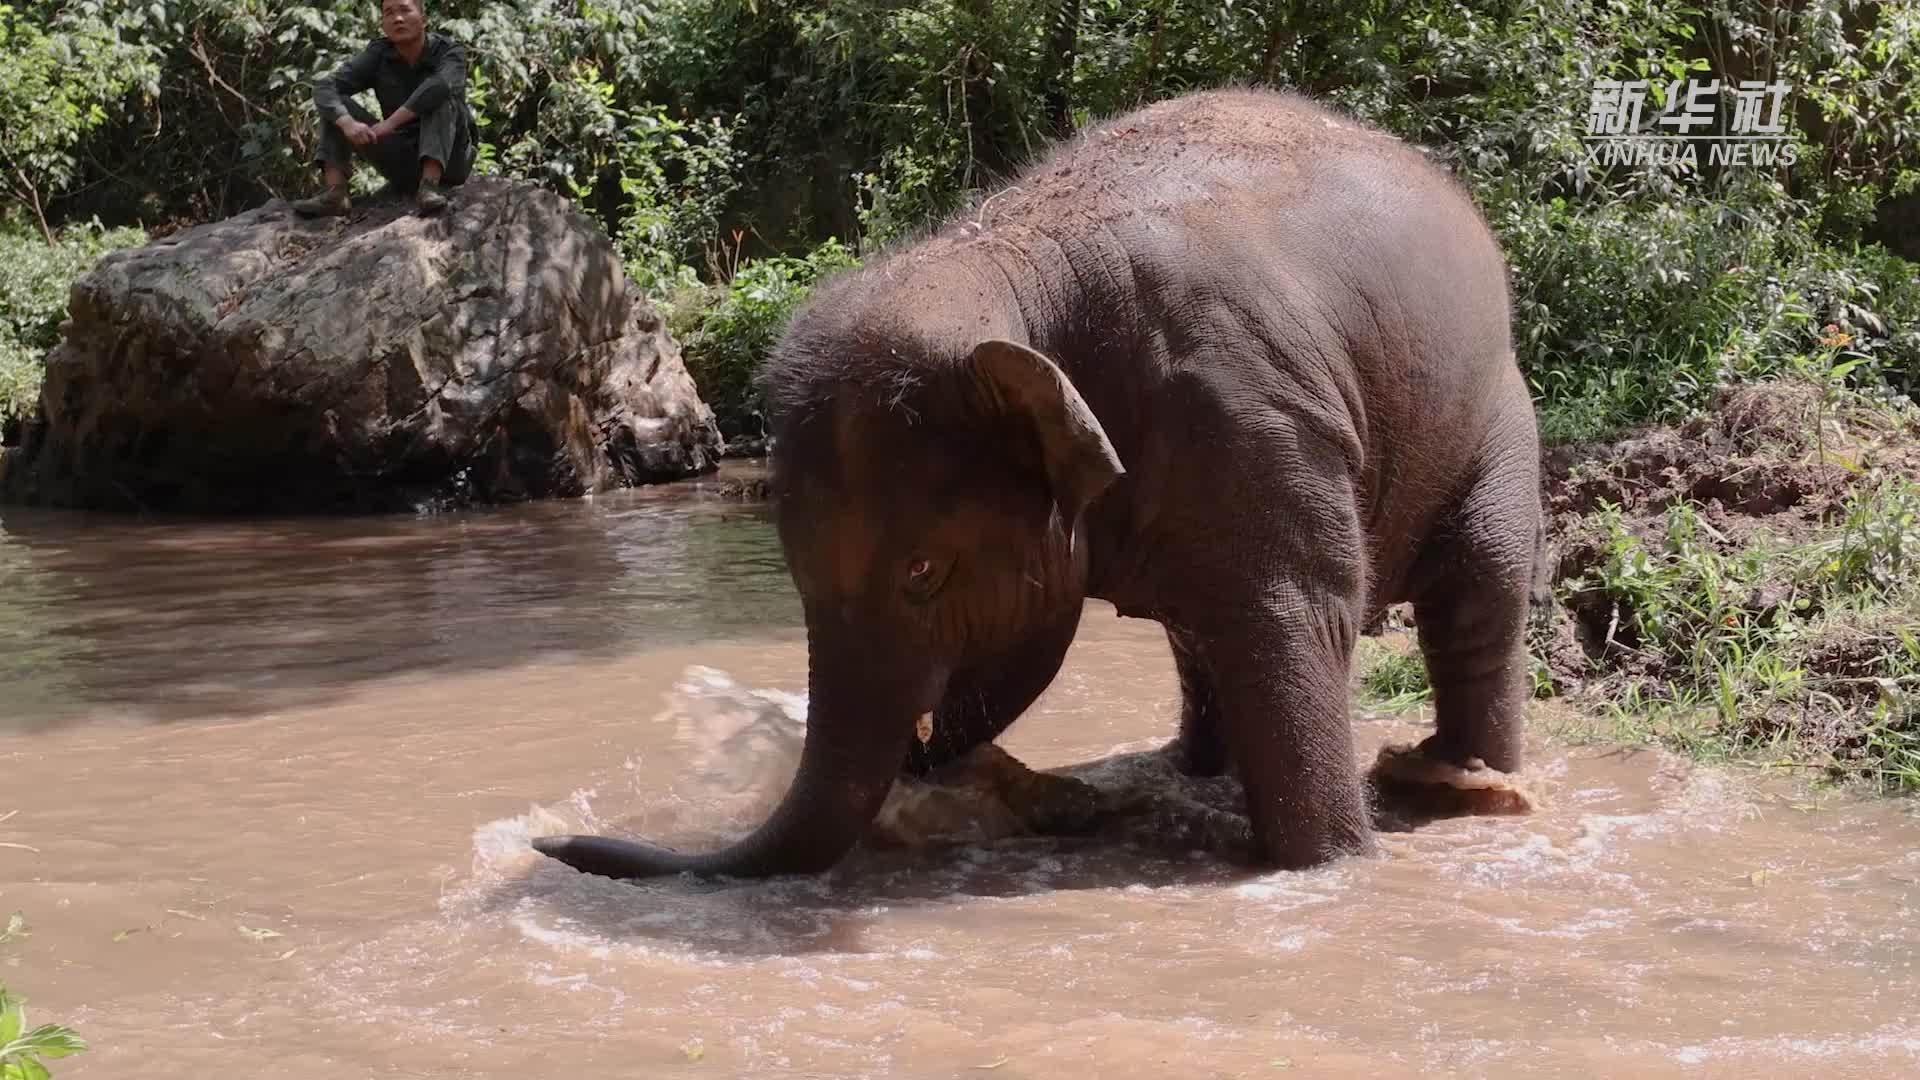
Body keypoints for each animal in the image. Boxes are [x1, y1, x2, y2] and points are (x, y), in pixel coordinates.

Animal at [529, 88, 1543, 880]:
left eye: (924, 574)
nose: (549, 843)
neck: (1008, 271)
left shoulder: (1252, 420)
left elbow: (1299, 618)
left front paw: (1329, 866)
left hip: (1497, 409)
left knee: (1478, 592)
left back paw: (1465, 783)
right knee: (1200, 636)